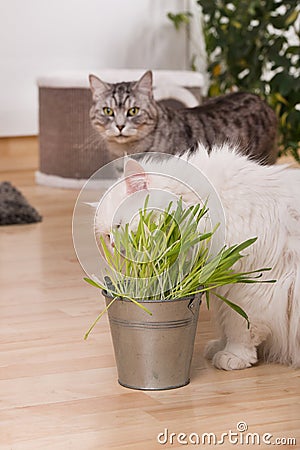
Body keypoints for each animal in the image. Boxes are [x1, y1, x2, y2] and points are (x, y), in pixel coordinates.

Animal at [95, 144, 298, 370]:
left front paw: (233, 356)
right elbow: (226, 323)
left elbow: (241, 328)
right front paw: (218, 347)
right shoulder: (225, 290)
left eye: (119, 226)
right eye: (107, 236)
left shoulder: (251, 288)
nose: (114, 245)